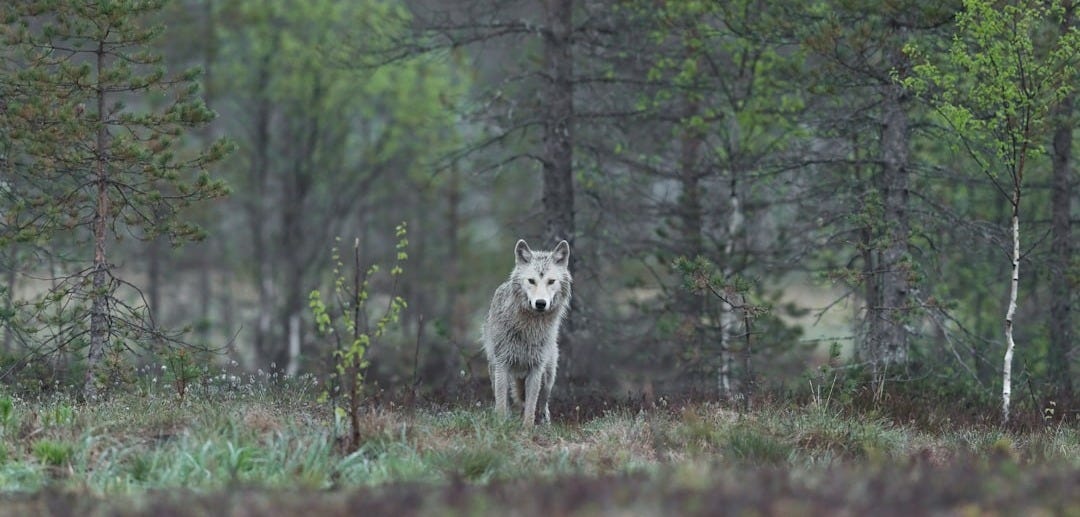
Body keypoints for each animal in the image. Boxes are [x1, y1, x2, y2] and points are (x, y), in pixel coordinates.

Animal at [486, 238, 574, 425]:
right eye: (531, 281)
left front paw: (527, 429)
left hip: (548, 378)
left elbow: (531, 407)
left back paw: (544, 424)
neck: (529, 328)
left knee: (542, 405)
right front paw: (500, 426)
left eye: (551, 281)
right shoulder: (502, 365)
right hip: (496, 371)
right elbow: (502, 405)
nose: (540, 303)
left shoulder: (536, 368)